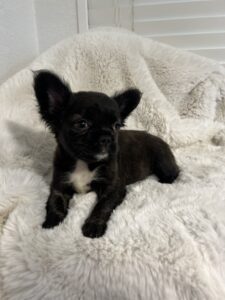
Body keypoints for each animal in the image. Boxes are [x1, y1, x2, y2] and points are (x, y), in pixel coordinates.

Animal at [33, 71, 179, 239]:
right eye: (82, 124)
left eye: (116, 126)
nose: (107, 137)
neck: (84, 162)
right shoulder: (60, 184)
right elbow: (55, 202)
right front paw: (52, 222)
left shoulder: (112, 188)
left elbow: (102, 206)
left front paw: (93, 226)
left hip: (163, 160)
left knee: (174, 172)